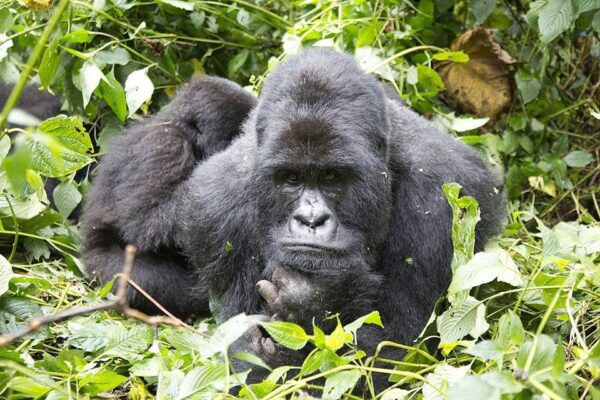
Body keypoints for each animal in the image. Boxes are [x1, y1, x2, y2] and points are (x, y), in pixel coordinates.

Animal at [82, 48, 506, 374]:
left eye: (332, 177)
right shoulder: (214, 209)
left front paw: (311, 299)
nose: (311, 219)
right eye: (291, 178)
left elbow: (399, 353)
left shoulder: (439, 199)